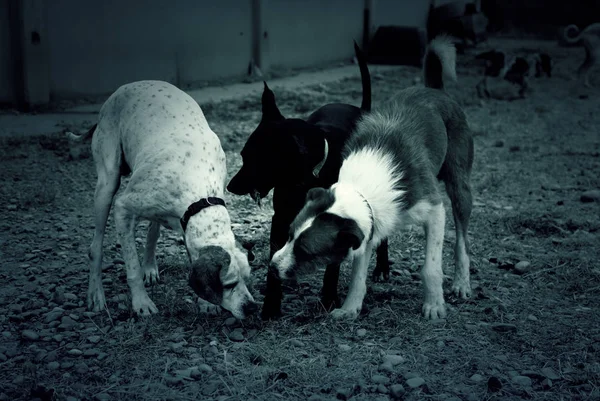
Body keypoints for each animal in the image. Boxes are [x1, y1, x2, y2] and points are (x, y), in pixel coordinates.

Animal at [67, 80, 258, 318]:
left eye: (247, 278)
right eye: (229, 284)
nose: (252, 308)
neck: (200, 192)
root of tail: (128, 86)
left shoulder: (184, 221)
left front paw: (206, 303)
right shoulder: (123, 209)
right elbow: (131, 267)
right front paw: (141, 302)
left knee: (153, 231)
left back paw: (149, 267)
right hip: (106, 186)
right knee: (96, 248)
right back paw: (95, 294)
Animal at [227, 40, 392, 318]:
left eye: (254, 160)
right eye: (242, 155)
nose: (229, 186)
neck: (307, 175)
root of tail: (360, 110)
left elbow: (333, 265)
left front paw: (328, 299)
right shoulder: (281, 219)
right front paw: (271, 306)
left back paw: (382, 268)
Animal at [268, 36, 474, 320]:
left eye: (306, 251)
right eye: (288, 235)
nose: (271, 268)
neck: (365, 185)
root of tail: (435, 90)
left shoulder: (434, 210)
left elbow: (431, 267)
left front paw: (433, 304)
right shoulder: (366, 227)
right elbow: (357, 276)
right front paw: (349, 308)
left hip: (459, 185)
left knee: (462, 240)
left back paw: (461, 283)